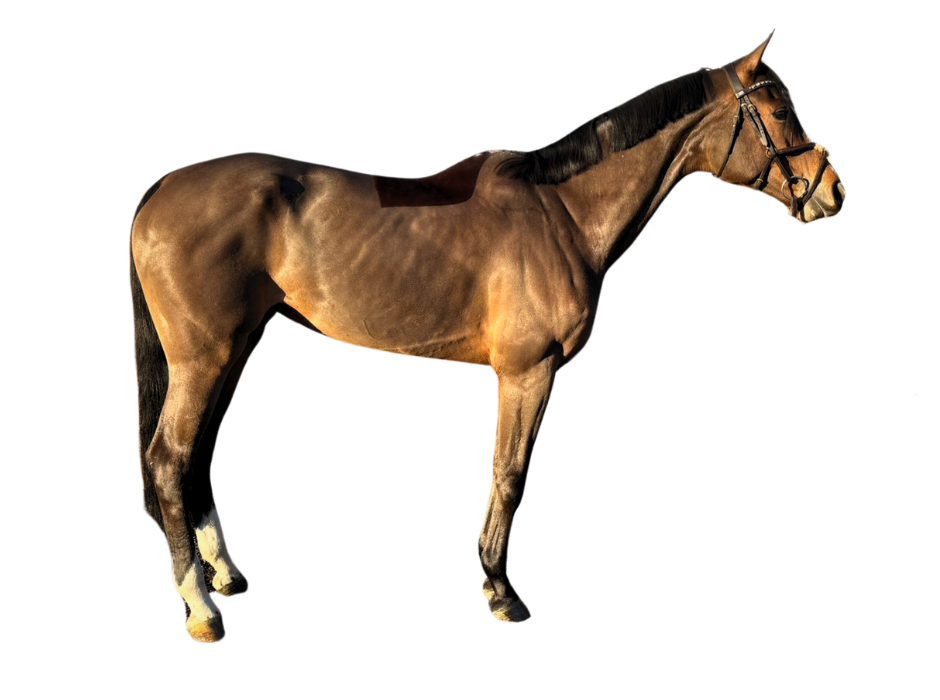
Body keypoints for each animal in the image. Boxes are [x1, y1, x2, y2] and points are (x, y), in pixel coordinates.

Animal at [130, 30, 845, 642]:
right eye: (782, 111)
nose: (833, 191)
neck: (563, 212)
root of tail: (160, 191)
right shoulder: (527, 372)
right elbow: (510, 471)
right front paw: (501, 590)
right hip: (203, 358)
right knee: (168, 458)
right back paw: (201, 607)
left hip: (238, 349)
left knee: (196, 458)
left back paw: (226, 575)